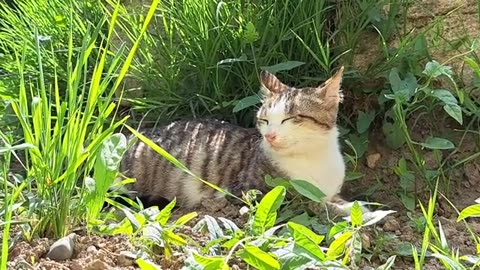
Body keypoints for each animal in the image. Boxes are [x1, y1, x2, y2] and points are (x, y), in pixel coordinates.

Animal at [119, 66, 352, 212]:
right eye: (264, 120)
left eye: (290, 118)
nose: (270, 135)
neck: (313, 158)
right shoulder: (249, 192)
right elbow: (311, 202)